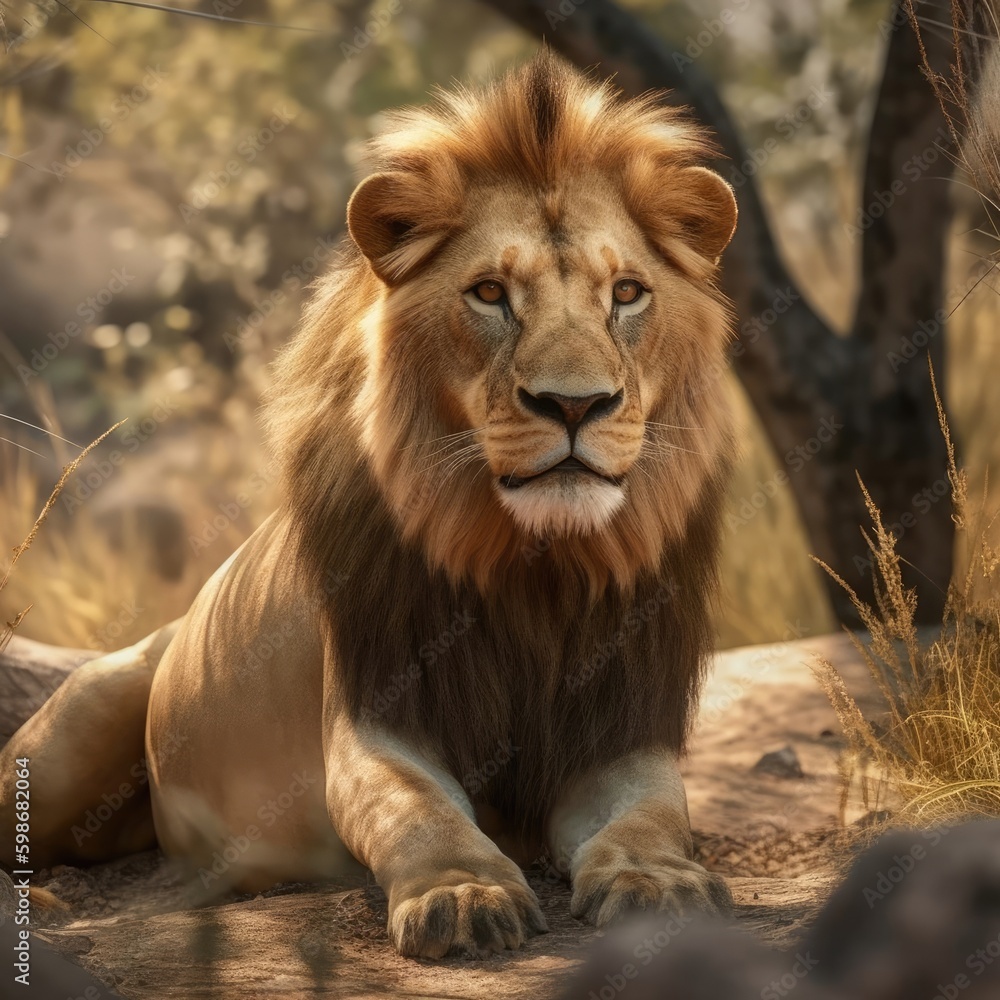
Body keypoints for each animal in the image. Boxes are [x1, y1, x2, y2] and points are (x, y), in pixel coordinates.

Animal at [0, 52, 738, 959]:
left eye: (627, 293)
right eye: (489, 293)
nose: (576, 404)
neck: (533, 565)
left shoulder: (622, 725)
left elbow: (653, 813)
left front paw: (658, 880)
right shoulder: (375, 713)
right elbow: (415, 810)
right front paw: (462, 892)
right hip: (76, 726)